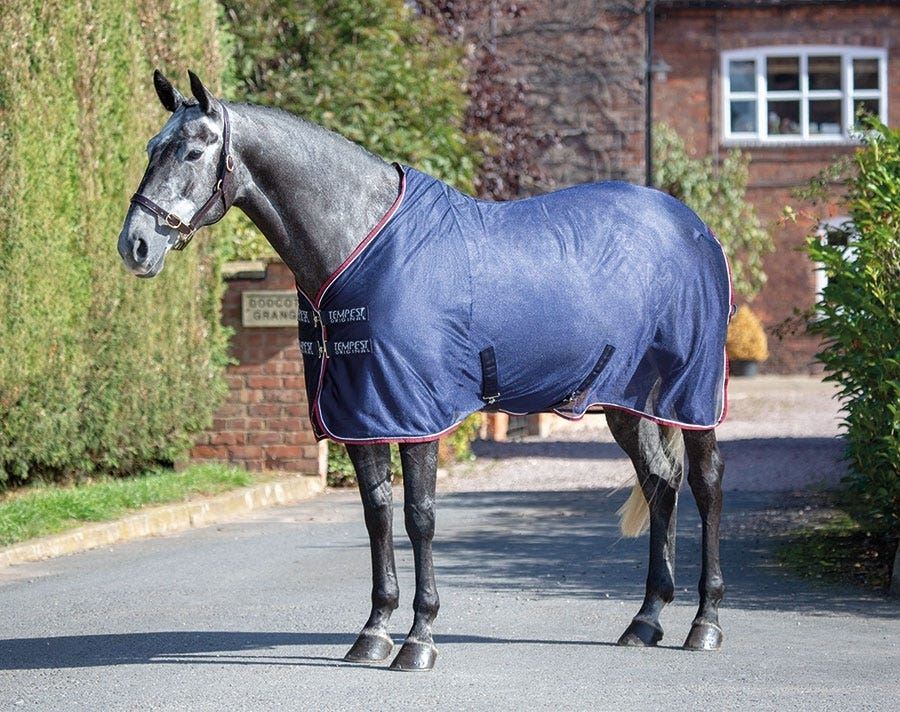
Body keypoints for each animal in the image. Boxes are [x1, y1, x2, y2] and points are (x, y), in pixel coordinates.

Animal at [118, 70, 729, 671]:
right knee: (659, 482)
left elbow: (420, 517)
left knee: (704, 483)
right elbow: (377, 515)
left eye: (194, 150)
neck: (358, 243)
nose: (135, 245)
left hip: (692, 395)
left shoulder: (416, 413)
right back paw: (645, 620)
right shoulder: (359, 414)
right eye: (151, 148)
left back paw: (705, 623)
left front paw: (419, 639)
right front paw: (373, 633)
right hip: (628, 401)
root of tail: (695, 229)